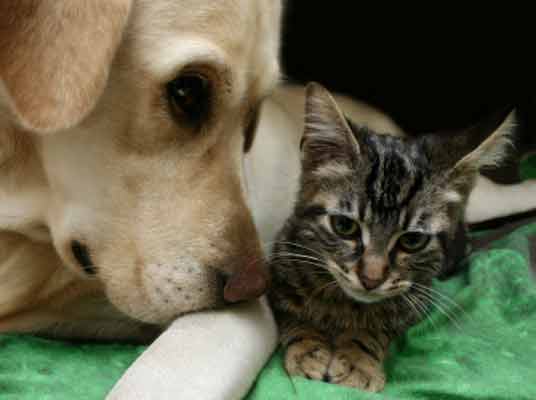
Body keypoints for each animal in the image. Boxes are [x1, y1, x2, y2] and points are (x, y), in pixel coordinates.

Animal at [270, 82, 512, 390]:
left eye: (412, 240)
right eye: (344, 226)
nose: (371, 280)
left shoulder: (417, 296)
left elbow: (379, 324)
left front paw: (358, 358)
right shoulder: (281, 268)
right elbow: (293, 315)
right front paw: (308, 348)